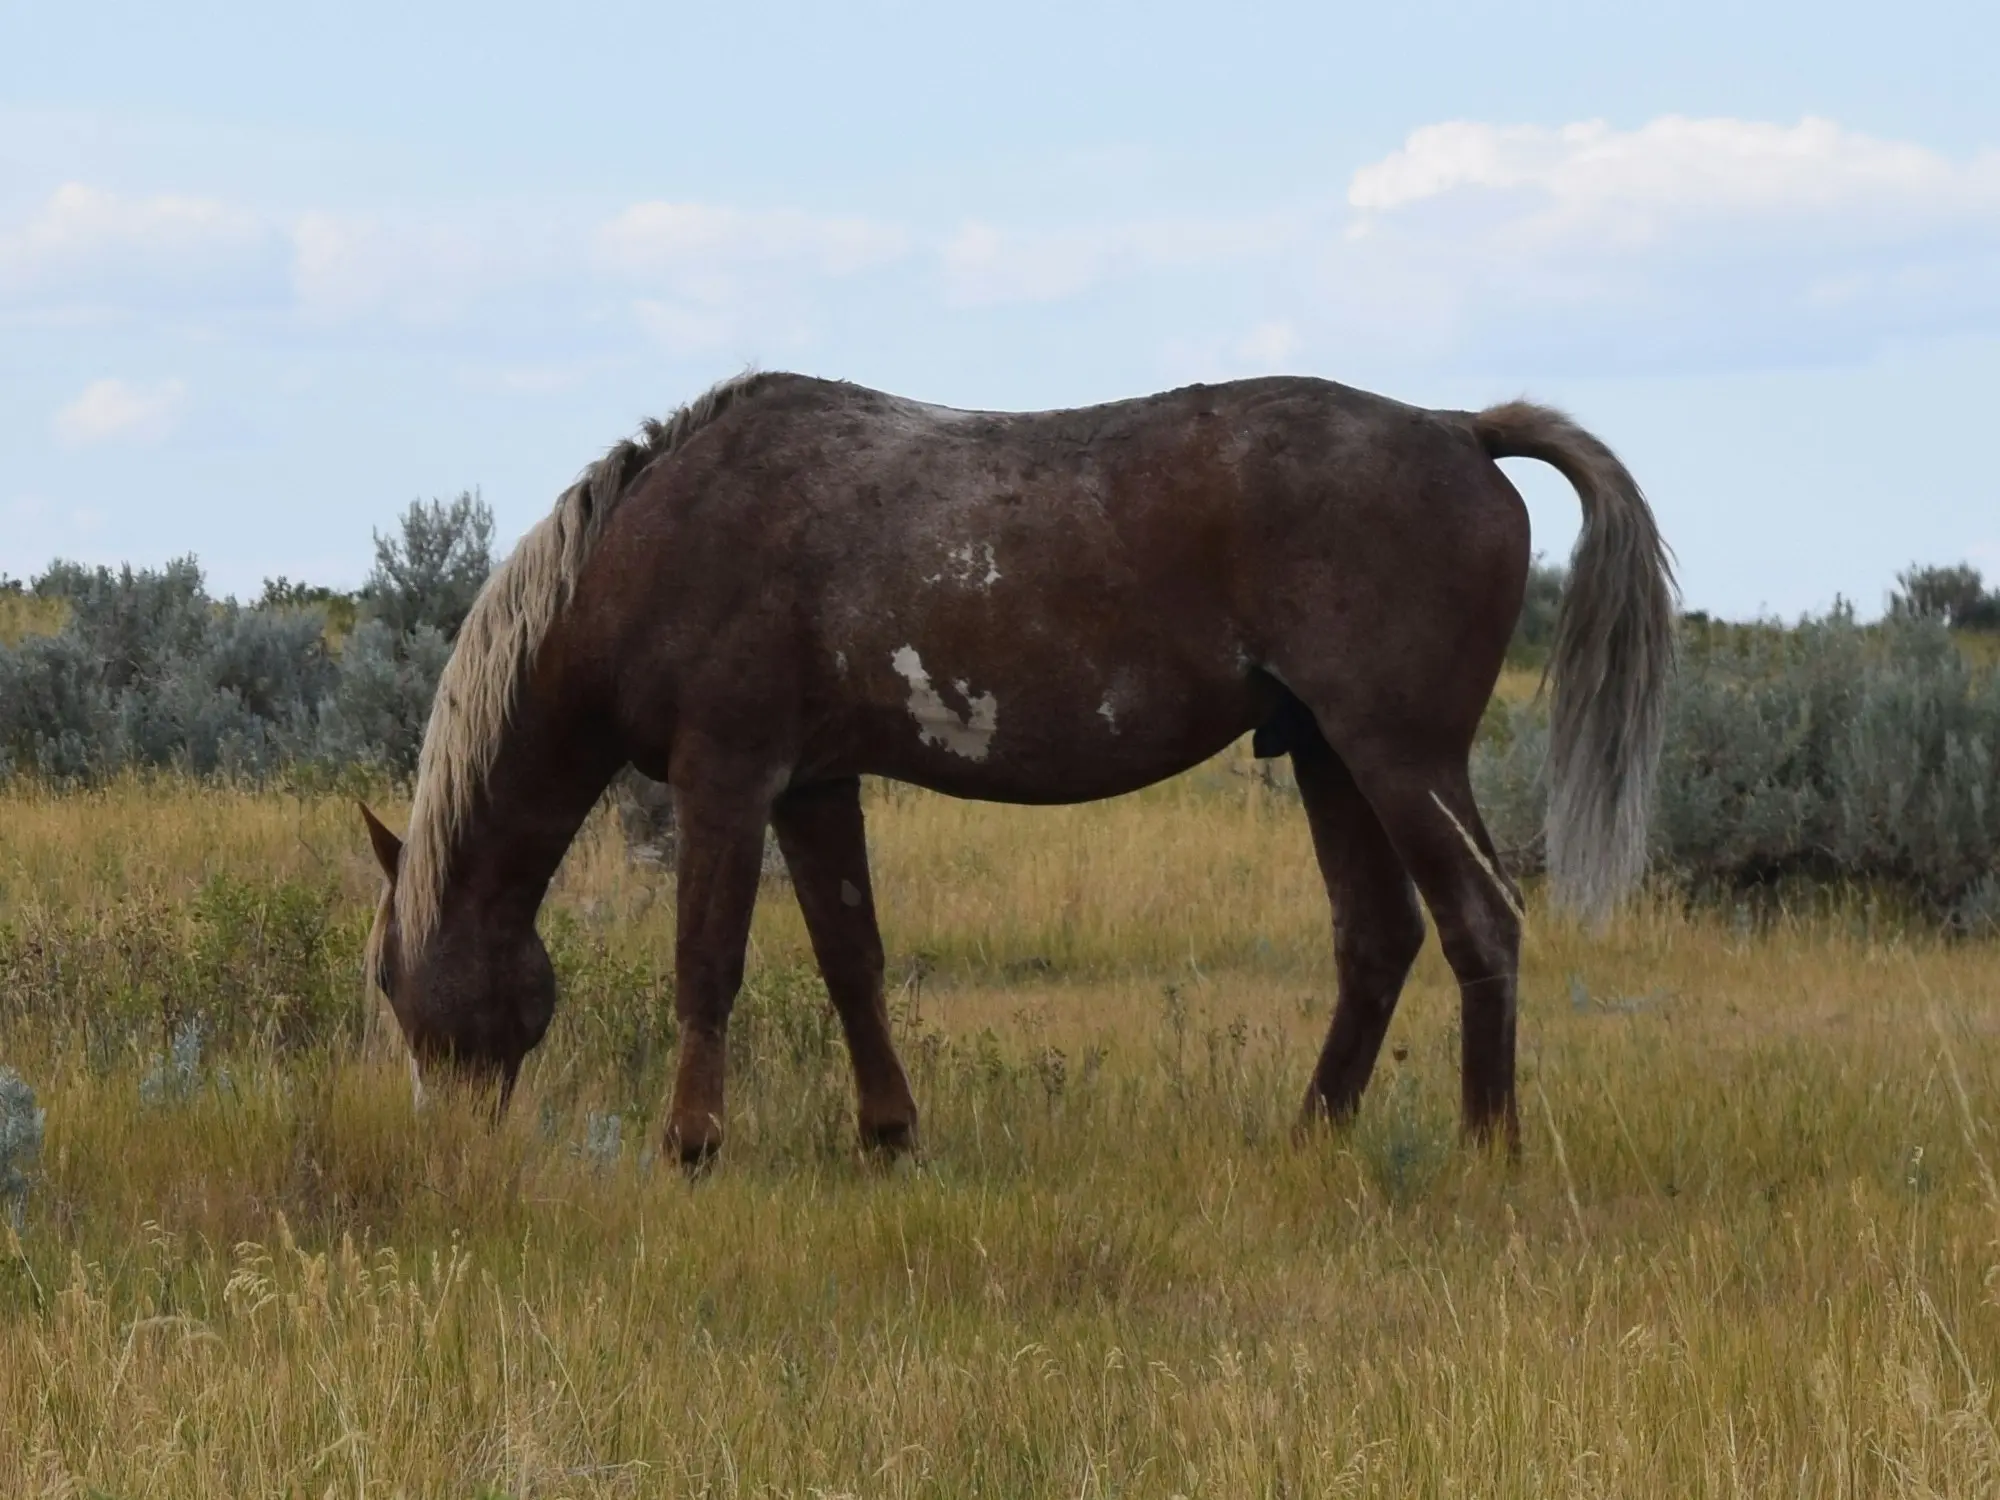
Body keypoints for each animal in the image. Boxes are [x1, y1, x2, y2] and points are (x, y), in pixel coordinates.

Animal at [360, 370, 1672, 1168]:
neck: (653, 544)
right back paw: (1309, 1135)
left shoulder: (723, 775)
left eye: (394, 985)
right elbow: (851, 960)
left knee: (1478, 927)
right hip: (1327, 758)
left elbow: (706, 965)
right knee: (1377, 939)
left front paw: (690, 1146)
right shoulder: (812, 785)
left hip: (1399, 757)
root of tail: (1459, 427)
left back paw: (1483, 1153)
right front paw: (888, 1136)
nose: (445, 1146)